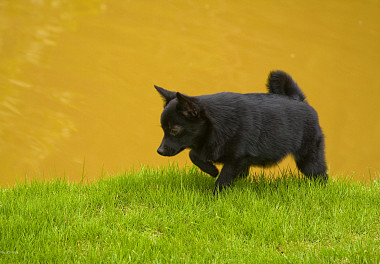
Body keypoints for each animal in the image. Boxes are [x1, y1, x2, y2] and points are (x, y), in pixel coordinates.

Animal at [154, 70, 326, 194]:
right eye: (163, 130)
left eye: (174, 131)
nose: (159, 151)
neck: (219, 122)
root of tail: (300, 100)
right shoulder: (208, 147)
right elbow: (193, 155)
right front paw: (212, 170)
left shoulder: (236, 158)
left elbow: (223, 177)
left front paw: (215, 194)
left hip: (309, 160)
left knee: (321, 175)